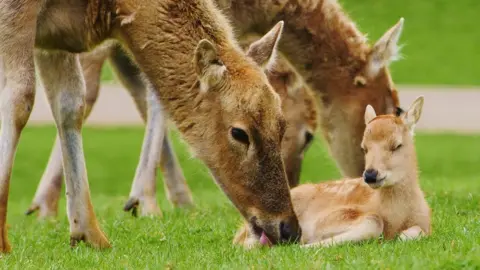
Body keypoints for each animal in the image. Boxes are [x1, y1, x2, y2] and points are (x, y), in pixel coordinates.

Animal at [232, 96, 432, 248]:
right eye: (364, 147)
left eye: (397, 145)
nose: (370, 175)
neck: (397, 219)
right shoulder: (326, 219)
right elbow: (373, 221)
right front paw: (306, 245)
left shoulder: (427, 226)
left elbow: (414, 233)